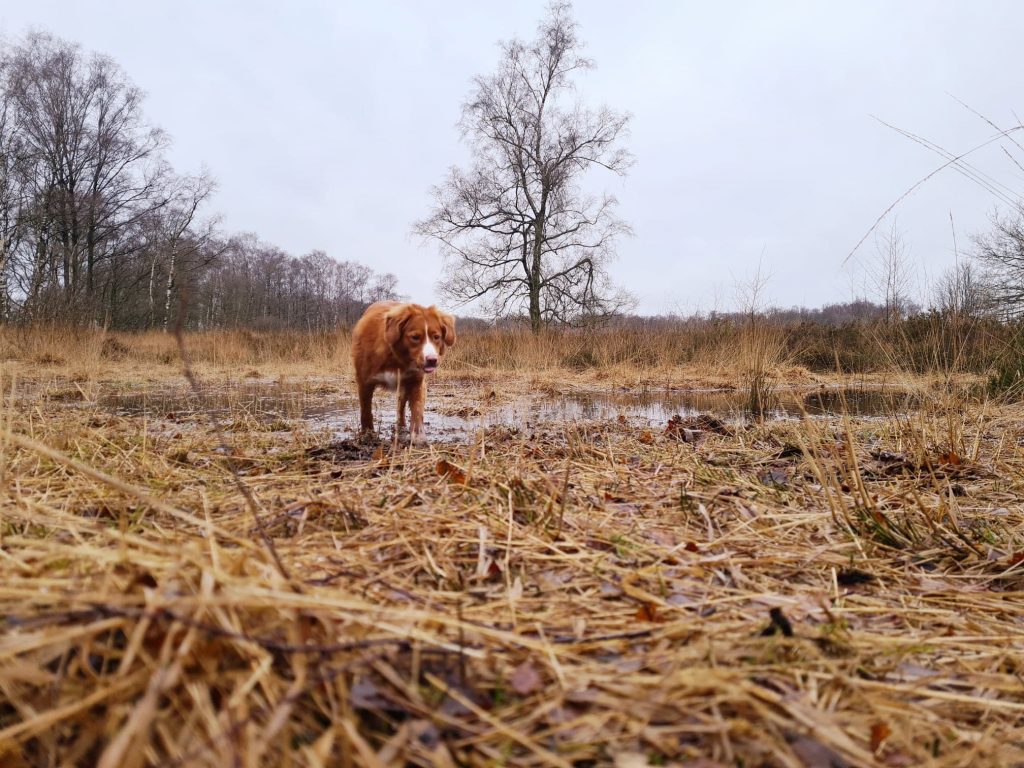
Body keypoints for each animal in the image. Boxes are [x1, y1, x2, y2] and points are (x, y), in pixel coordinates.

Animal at [352, 301, 456, 444]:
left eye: (436, 337)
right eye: (415, 337)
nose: (432, 360)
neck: (395, 357)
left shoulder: (415, 381)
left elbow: (417, 409)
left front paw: (418, 436)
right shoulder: (364, 381)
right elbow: (366, 410)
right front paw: (367, 434)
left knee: (401, 406)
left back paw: (401, 426)